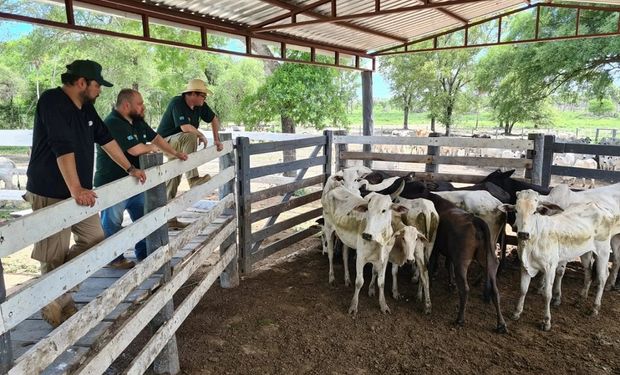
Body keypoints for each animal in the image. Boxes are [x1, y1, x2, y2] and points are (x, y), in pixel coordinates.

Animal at [502, 191, 616, 332]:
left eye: (535, 212)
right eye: (516, 210)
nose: (523, 234)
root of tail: (600, 208)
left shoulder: (550, 267)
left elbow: (547, 294)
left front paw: (546, 321)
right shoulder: (525, 266)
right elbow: (523, 289)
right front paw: (516, 313)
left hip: (603, 251)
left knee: (602, 277)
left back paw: (594, 308)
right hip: (585, 252)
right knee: (588, 272)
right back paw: (580, 299)